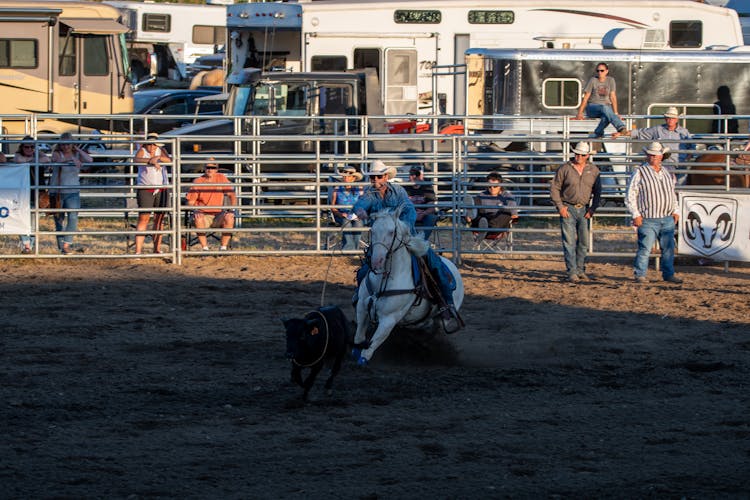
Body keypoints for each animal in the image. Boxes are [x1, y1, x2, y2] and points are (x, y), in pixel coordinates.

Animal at [354, 207, 464, 364]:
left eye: (391, 232)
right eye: (372, 231)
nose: (376, 261)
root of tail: (453, 266)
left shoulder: (389, 319)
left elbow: (370, 347)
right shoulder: (362, 307)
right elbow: (358, 338)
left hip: (442, 315)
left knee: (434, 327)